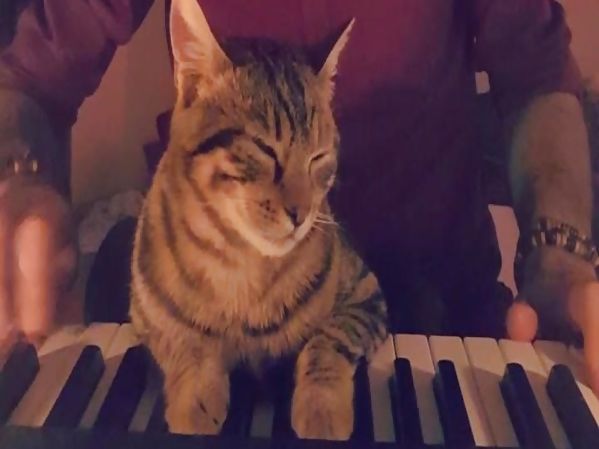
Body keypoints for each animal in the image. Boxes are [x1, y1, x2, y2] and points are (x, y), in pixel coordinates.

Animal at [129, 0, 388, 440]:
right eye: (264, 150)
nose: (301, 214)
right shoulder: (146, 316)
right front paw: (195, 399)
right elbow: (182, 343)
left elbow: (327, 339)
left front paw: (320, 407)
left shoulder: (365, 295)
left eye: (319, 157)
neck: (241, 263)